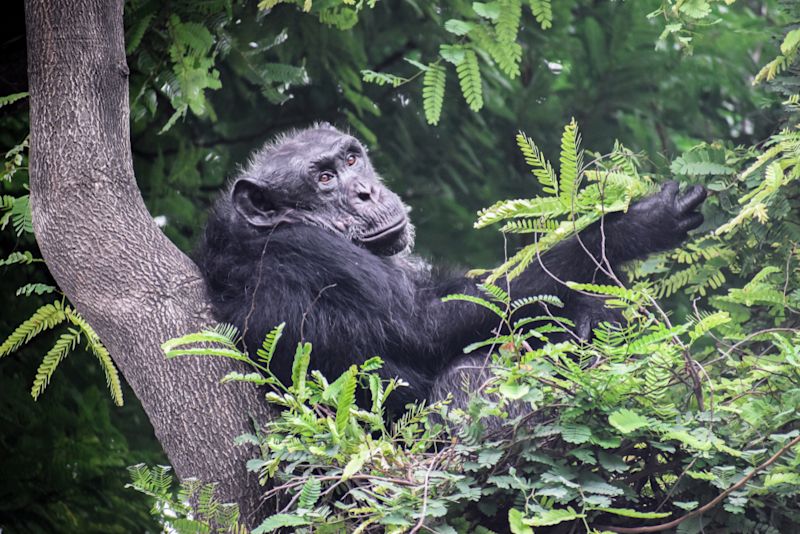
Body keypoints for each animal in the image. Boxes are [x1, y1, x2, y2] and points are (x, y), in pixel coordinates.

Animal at [195, 124, 708, 414]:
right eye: (323, 179)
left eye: (351, 159)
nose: (364, 191)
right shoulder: (307, 251)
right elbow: (424, 324)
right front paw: (631, 227)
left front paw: (591, 309)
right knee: (472, 366)